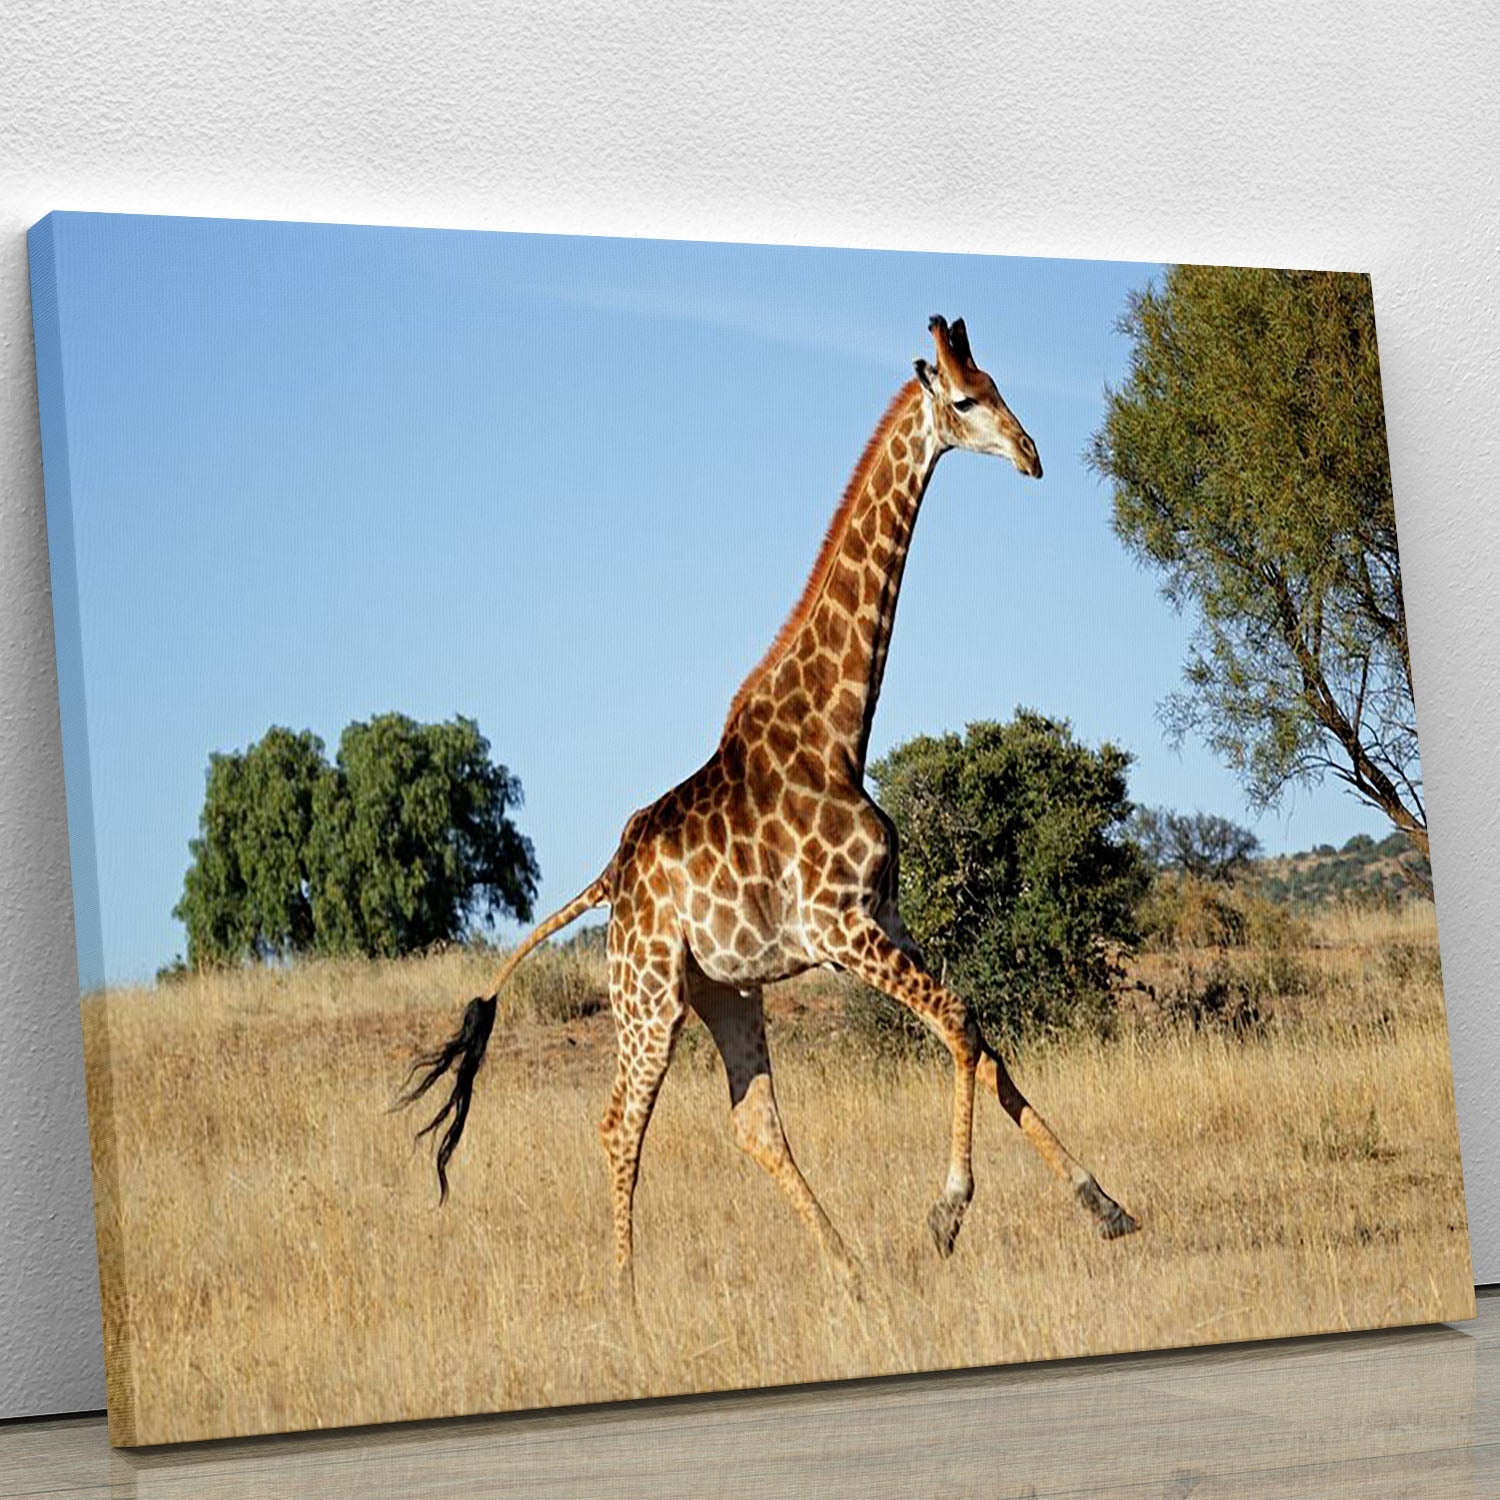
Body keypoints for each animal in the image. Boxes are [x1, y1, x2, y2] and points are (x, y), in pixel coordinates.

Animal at [401, 314, 1139, 1292]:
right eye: (967, 398)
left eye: (999, 384)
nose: (1032, 456)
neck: (837, 732)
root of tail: (609, 880)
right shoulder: (839, 928)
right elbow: (960, 1022)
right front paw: (947, 1213)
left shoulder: (885, 918)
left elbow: (983, 1039)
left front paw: (1107, 1206)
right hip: (647, 994)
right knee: (618, 1123)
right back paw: (628, 1300)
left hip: (724, 991)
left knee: (753, 1122)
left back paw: (849, 1270)